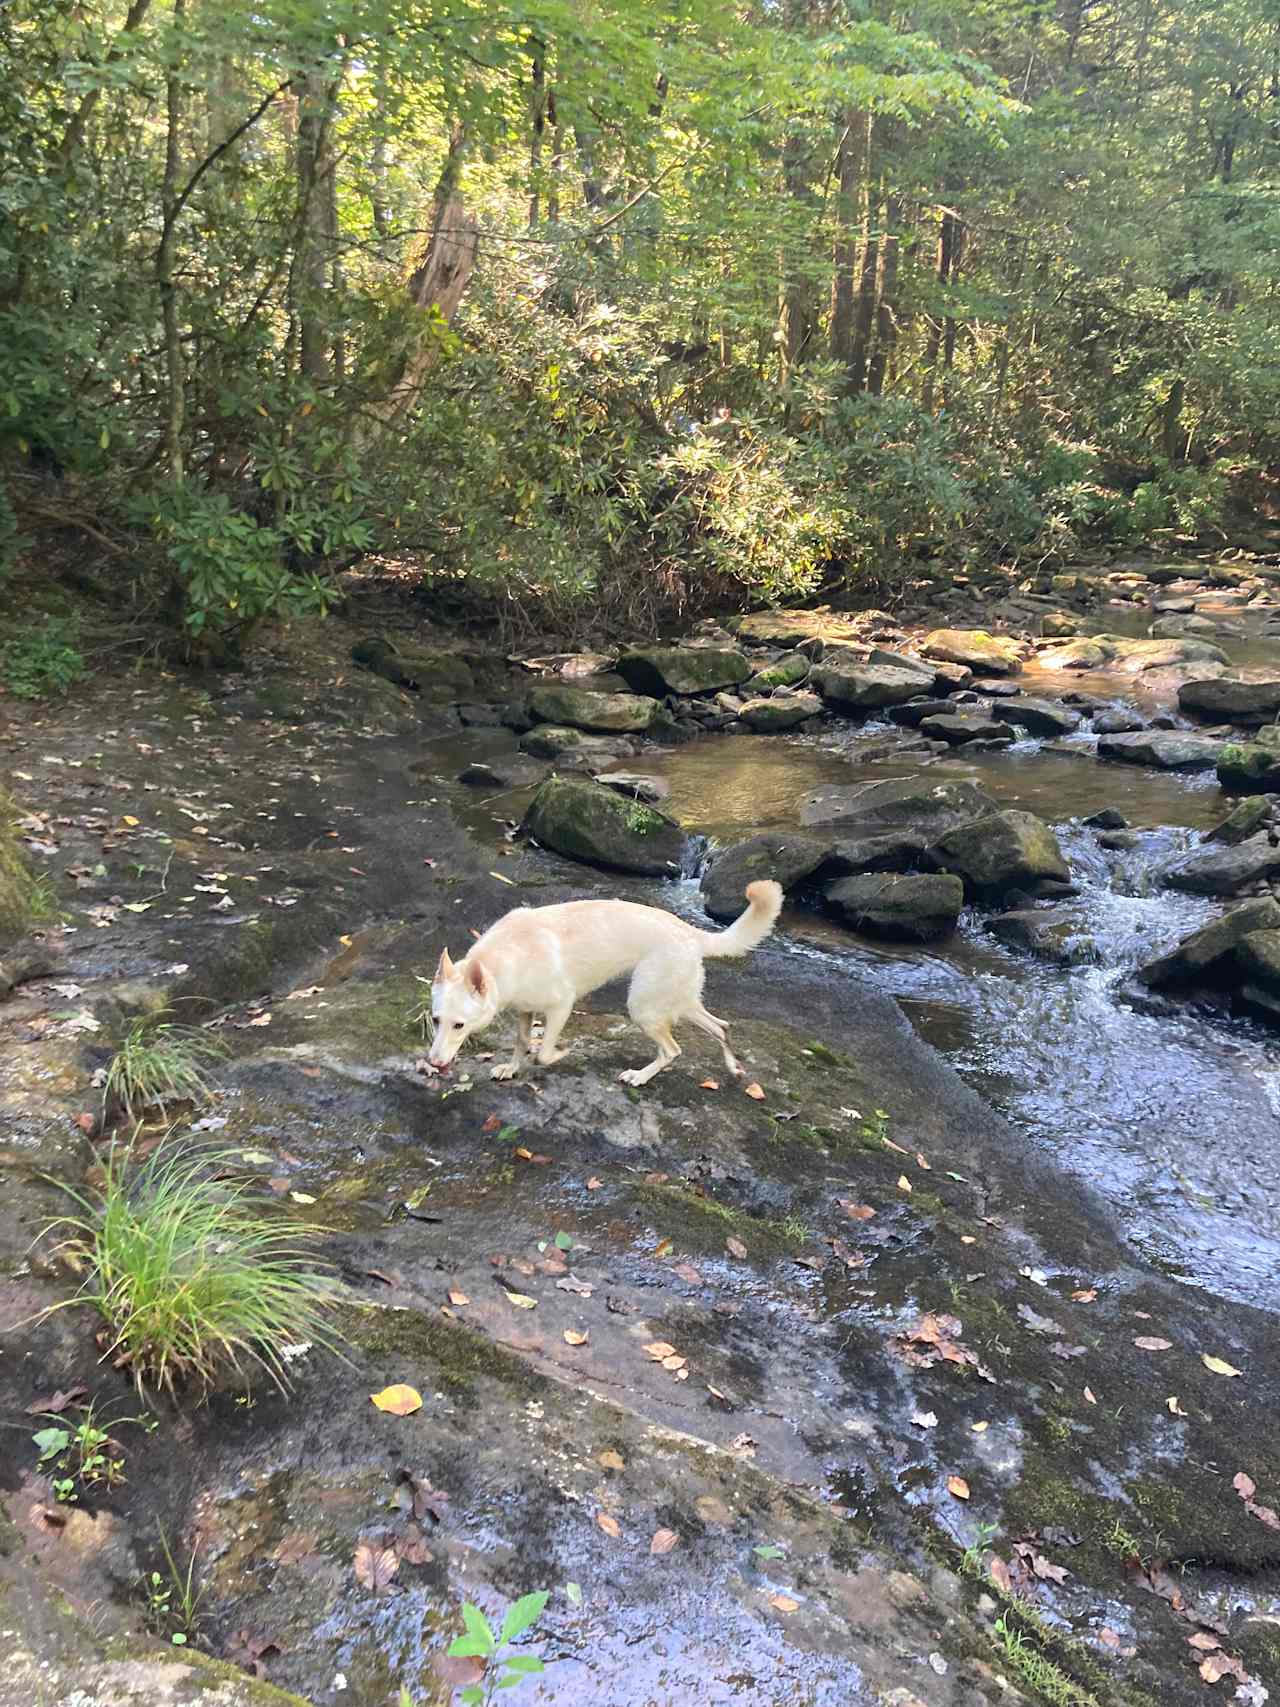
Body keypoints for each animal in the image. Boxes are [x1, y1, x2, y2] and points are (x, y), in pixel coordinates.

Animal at [426, 887, 781, 1085]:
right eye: (435, 1020)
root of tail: (690, 931)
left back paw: (640, 1077)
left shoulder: (561, 1006)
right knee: (721, 1026)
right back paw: (733, 1067)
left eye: (459, 1025)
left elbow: (542, 1054)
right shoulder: (525, 1010)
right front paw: (511, 1068)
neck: (506, 957)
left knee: (673, 1050)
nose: (433, 1063)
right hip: (677, 1001)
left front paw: (560, 1053)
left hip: (643, 1007)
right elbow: (522, 1041)